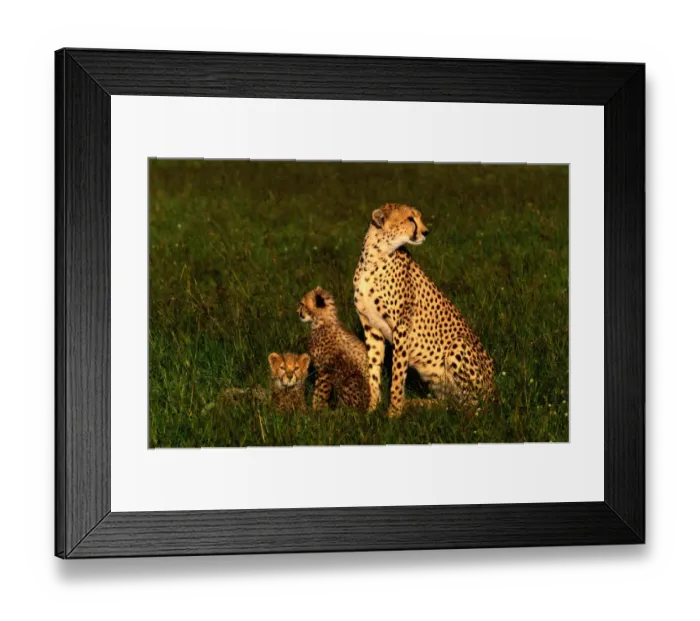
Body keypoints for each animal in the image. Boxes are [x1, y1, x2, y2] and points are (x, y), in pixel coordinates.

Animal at [353, 203, 496, 417]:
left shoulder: (402, 327)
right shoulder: (371, 327)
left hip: (458, 345)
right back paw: (419, 404)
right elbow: (373, 371)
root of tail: (495, 391)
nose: (426, 232)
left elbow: (397, 374)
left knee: (473, 406)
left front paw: (393, 413)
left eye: (418, 217)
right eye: (410, 219)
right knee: (451, 403)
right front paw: (372, 409)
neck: (375, 255)